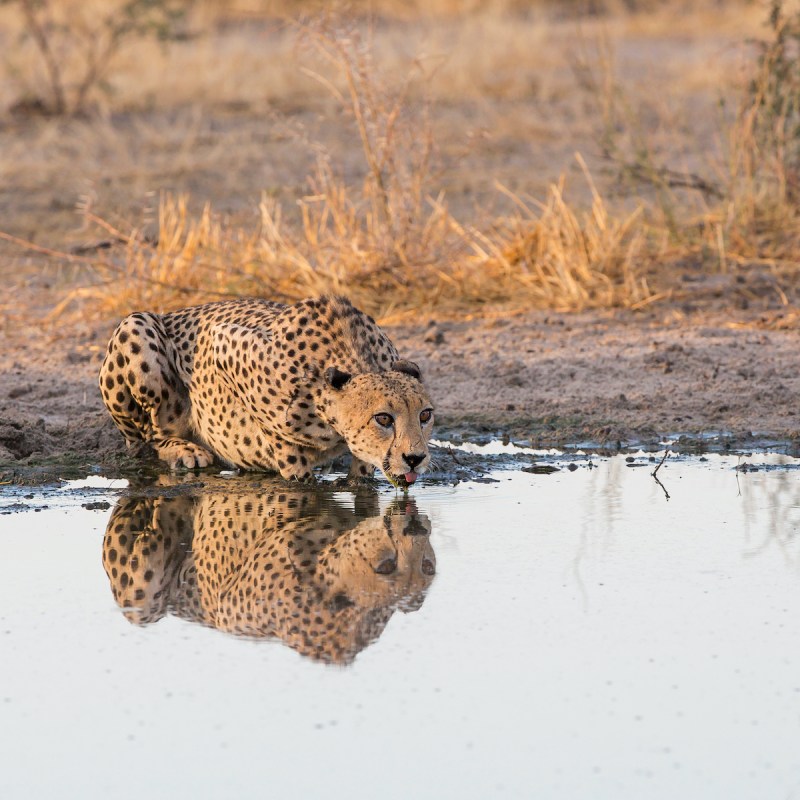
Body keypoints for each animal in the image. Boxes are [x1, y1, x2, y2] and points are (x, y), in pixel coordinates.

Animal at [101, 296, 438, 484]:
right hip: (137, 326)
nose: (415, 458)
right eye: (383, 419)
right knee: (149, 435)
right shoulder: (221, 342)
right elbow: (279, 440)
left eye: (425, 415)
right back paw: (184, 450)